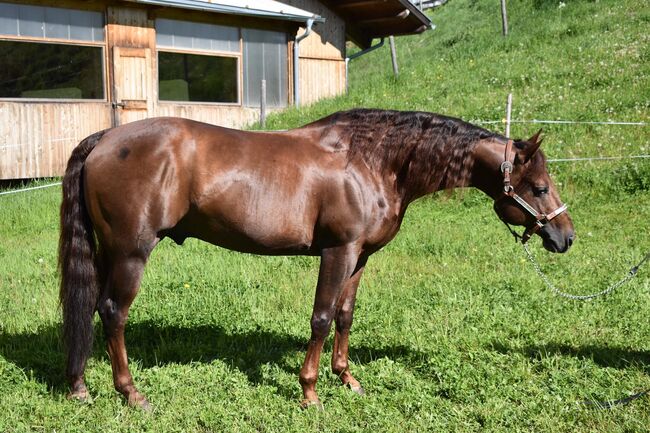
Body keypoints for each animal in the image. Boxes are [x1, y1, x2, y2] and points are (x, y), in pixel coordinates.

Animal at [57, 107, 572, 408]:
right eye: (539, 187)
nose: (565, 237)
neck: (372, 161)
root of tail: (105, 138)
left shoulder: (360, 257)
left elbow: (345, 316)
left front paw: (347, 379)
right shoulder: (337, 251)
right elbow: (321, 318)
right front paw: (309, 393)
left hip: (108, 252)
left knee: (90, 309)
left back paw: (80, 386)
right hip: (131, 252)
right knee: (113, 312)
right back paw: (131, 393)